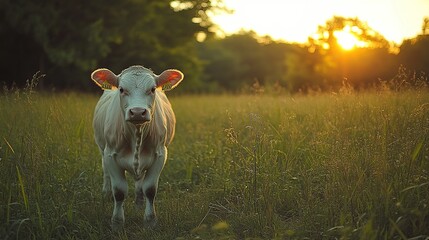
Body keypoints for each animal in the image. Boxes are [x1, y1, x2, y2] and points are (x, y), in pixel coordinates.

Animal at [91, 64, 183, 230]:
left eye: (152, 89)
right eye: (121, 89)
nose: (138, 112)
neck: (136, 135)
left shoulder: (160, 155)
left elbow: (150, 189)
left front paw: (150, 220)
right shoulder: (110, 155)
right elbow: (119, 191)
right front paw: (117, 222)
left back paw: (139, 203)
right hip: (102, 149)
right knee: (106, 173)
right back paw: (106, 194)